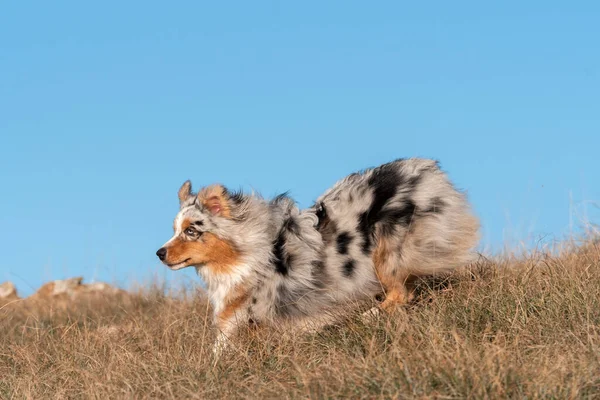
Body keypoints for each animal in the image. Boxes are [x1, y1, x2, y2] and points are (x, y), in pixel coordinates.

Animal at [155, 158, 478, 352]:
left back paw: (369, 315)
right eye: (175, 229)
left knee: (400, 293)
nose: (159, 253)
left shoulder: (244, 318)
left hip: (386, 251)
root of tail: (426, 171)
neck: (242, 254)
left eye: (191, 231)